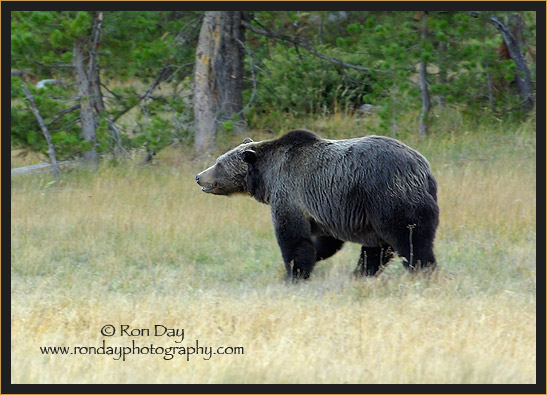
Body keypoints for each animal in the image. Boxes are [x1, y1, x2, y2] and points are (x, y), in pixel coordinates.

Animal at [195, 131, 438, 280]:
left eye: (218, 163)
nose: (198, 176)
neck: (267, 176)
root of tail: (423, 167)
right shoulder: (326, 209)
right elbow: (324, 241)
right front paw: (312, 259)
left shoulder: (290, 194)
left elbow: (292, 238)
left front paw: (294, 273)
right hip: (373, 211)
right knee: (377, 248)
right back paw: (359, 274)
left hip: (386, 195)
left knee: (410, 238)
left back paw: (423, 271)